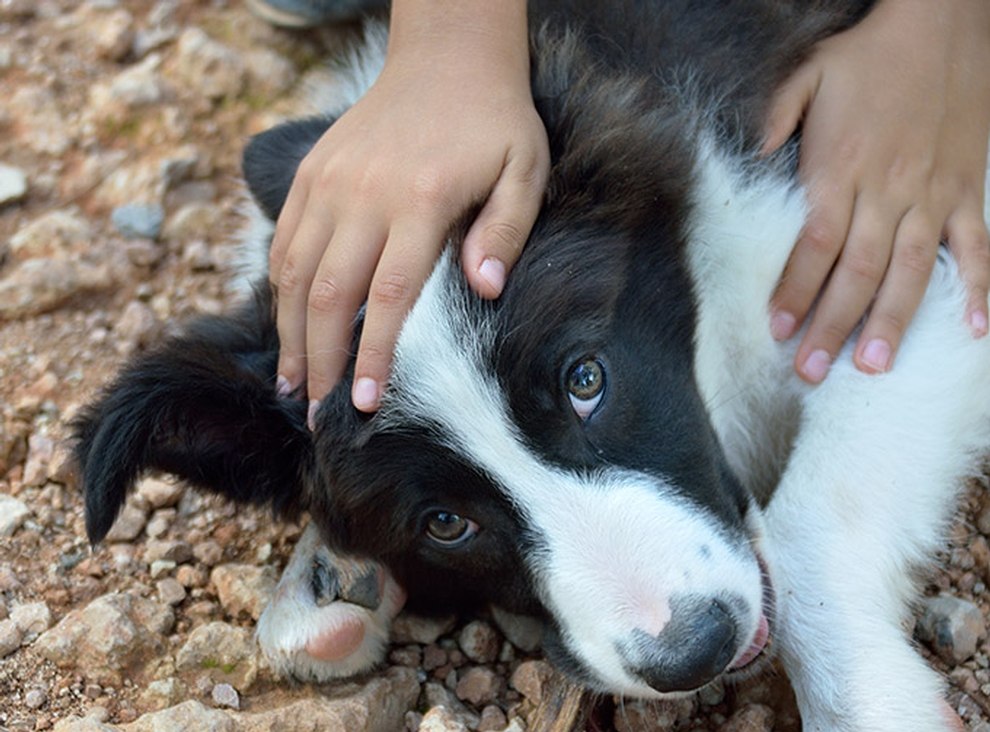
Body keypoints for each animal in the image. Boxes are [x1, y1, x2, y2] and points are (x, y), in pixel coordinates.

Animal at [71, 2, 990, 728]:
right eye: (445, 523)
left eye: (587, 380)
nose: (695, 651)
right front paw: (326, 580)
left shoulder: (893, 278)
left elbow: (808, 526)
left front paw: (874, 703)